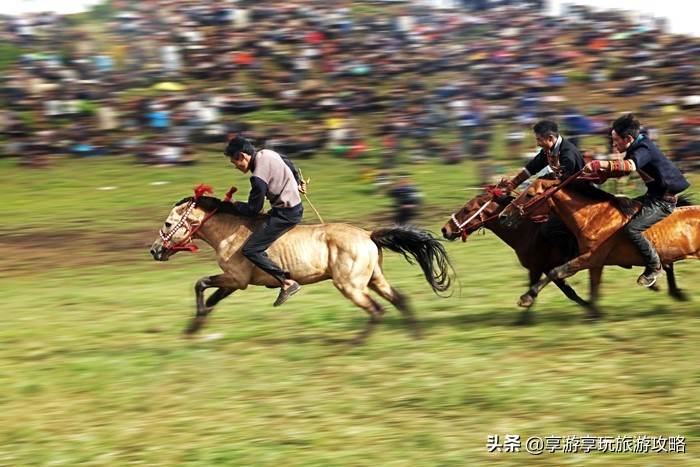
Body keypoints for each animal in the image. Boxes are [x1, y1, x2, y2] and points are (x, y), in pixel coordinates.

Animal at [149, 186, 454, 344]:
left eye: (167, 223)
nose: (154, 250)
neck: (230, 231)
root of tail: (368, 235)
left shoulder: (236, 279)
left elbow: (200, 283)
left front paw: (196, 322)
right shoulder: (234, 282)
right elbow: (210, 296)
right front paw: (195, 326)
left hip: (351, 285)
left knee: (377, 310)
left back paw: (356, 343)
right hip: (374, 280)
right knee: (400, 300)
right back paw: (416, 336)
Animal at [500, 177, 696, 308]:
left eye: (529, 195)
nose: (503, 216)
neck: (591, 217)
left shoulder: (589, 258)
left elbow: (557, 273)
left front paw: (527, 297)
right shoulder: (591, 261)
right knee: (665, 266)